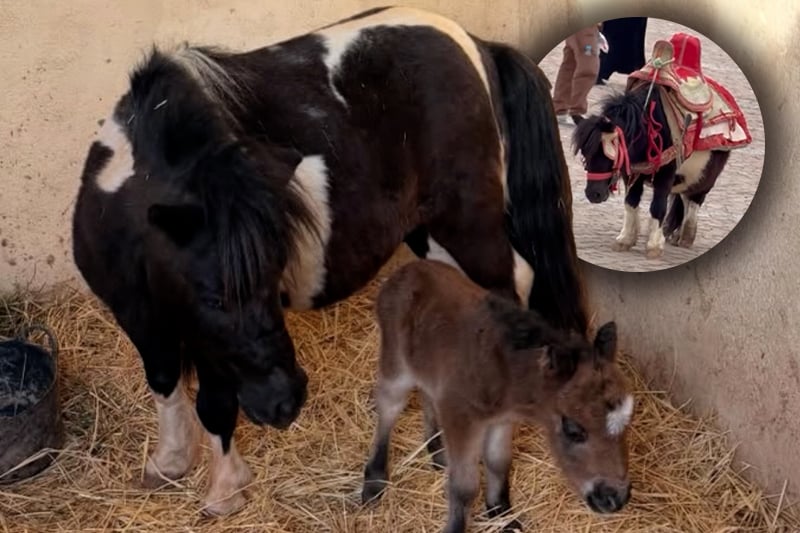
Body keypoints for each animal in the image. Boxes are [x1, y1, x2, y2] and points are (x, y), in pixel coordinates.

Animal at [71, 6, 588, 514]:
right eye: (213, 298)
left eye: (271, 279)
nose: (286, 402)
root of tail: (478, 47)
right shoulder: (142, 317)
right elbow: (162, 379)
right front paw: (170, 461)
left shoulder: (208, 343)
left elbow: (215, 404)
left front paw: (224, 490)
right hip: (430, 235)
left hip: (469, 227)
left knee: (512, 290)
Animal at [362, 259, 632, 533]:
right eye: (573, 430)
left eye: (627, 424)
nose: (615, 498)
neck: (504, 371)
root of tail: (405, 270)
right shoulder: (462, 418)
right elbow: (464, 486)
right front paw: (457, 526)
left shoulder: (501, 420)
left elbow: (498, 462)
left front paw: (501, 513)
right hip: (396, 365)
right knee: (389, 406)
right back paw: (374, 481)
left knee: (427, 393)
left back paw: (436, 451)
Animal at [571, 86, 731, 259]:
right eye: (585, 153)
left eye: (608, 153)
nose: (593, 194)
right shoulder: (631, 173)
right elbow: (631, 202)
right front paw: (626, 239)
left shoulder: (666, 175)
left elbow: (658, 206)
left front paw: (654, 246)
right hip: (685, 178)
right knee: (684, 198)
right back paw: (676, 235)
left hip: (703, 175)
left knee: (695, 199)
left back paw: (686, 236)